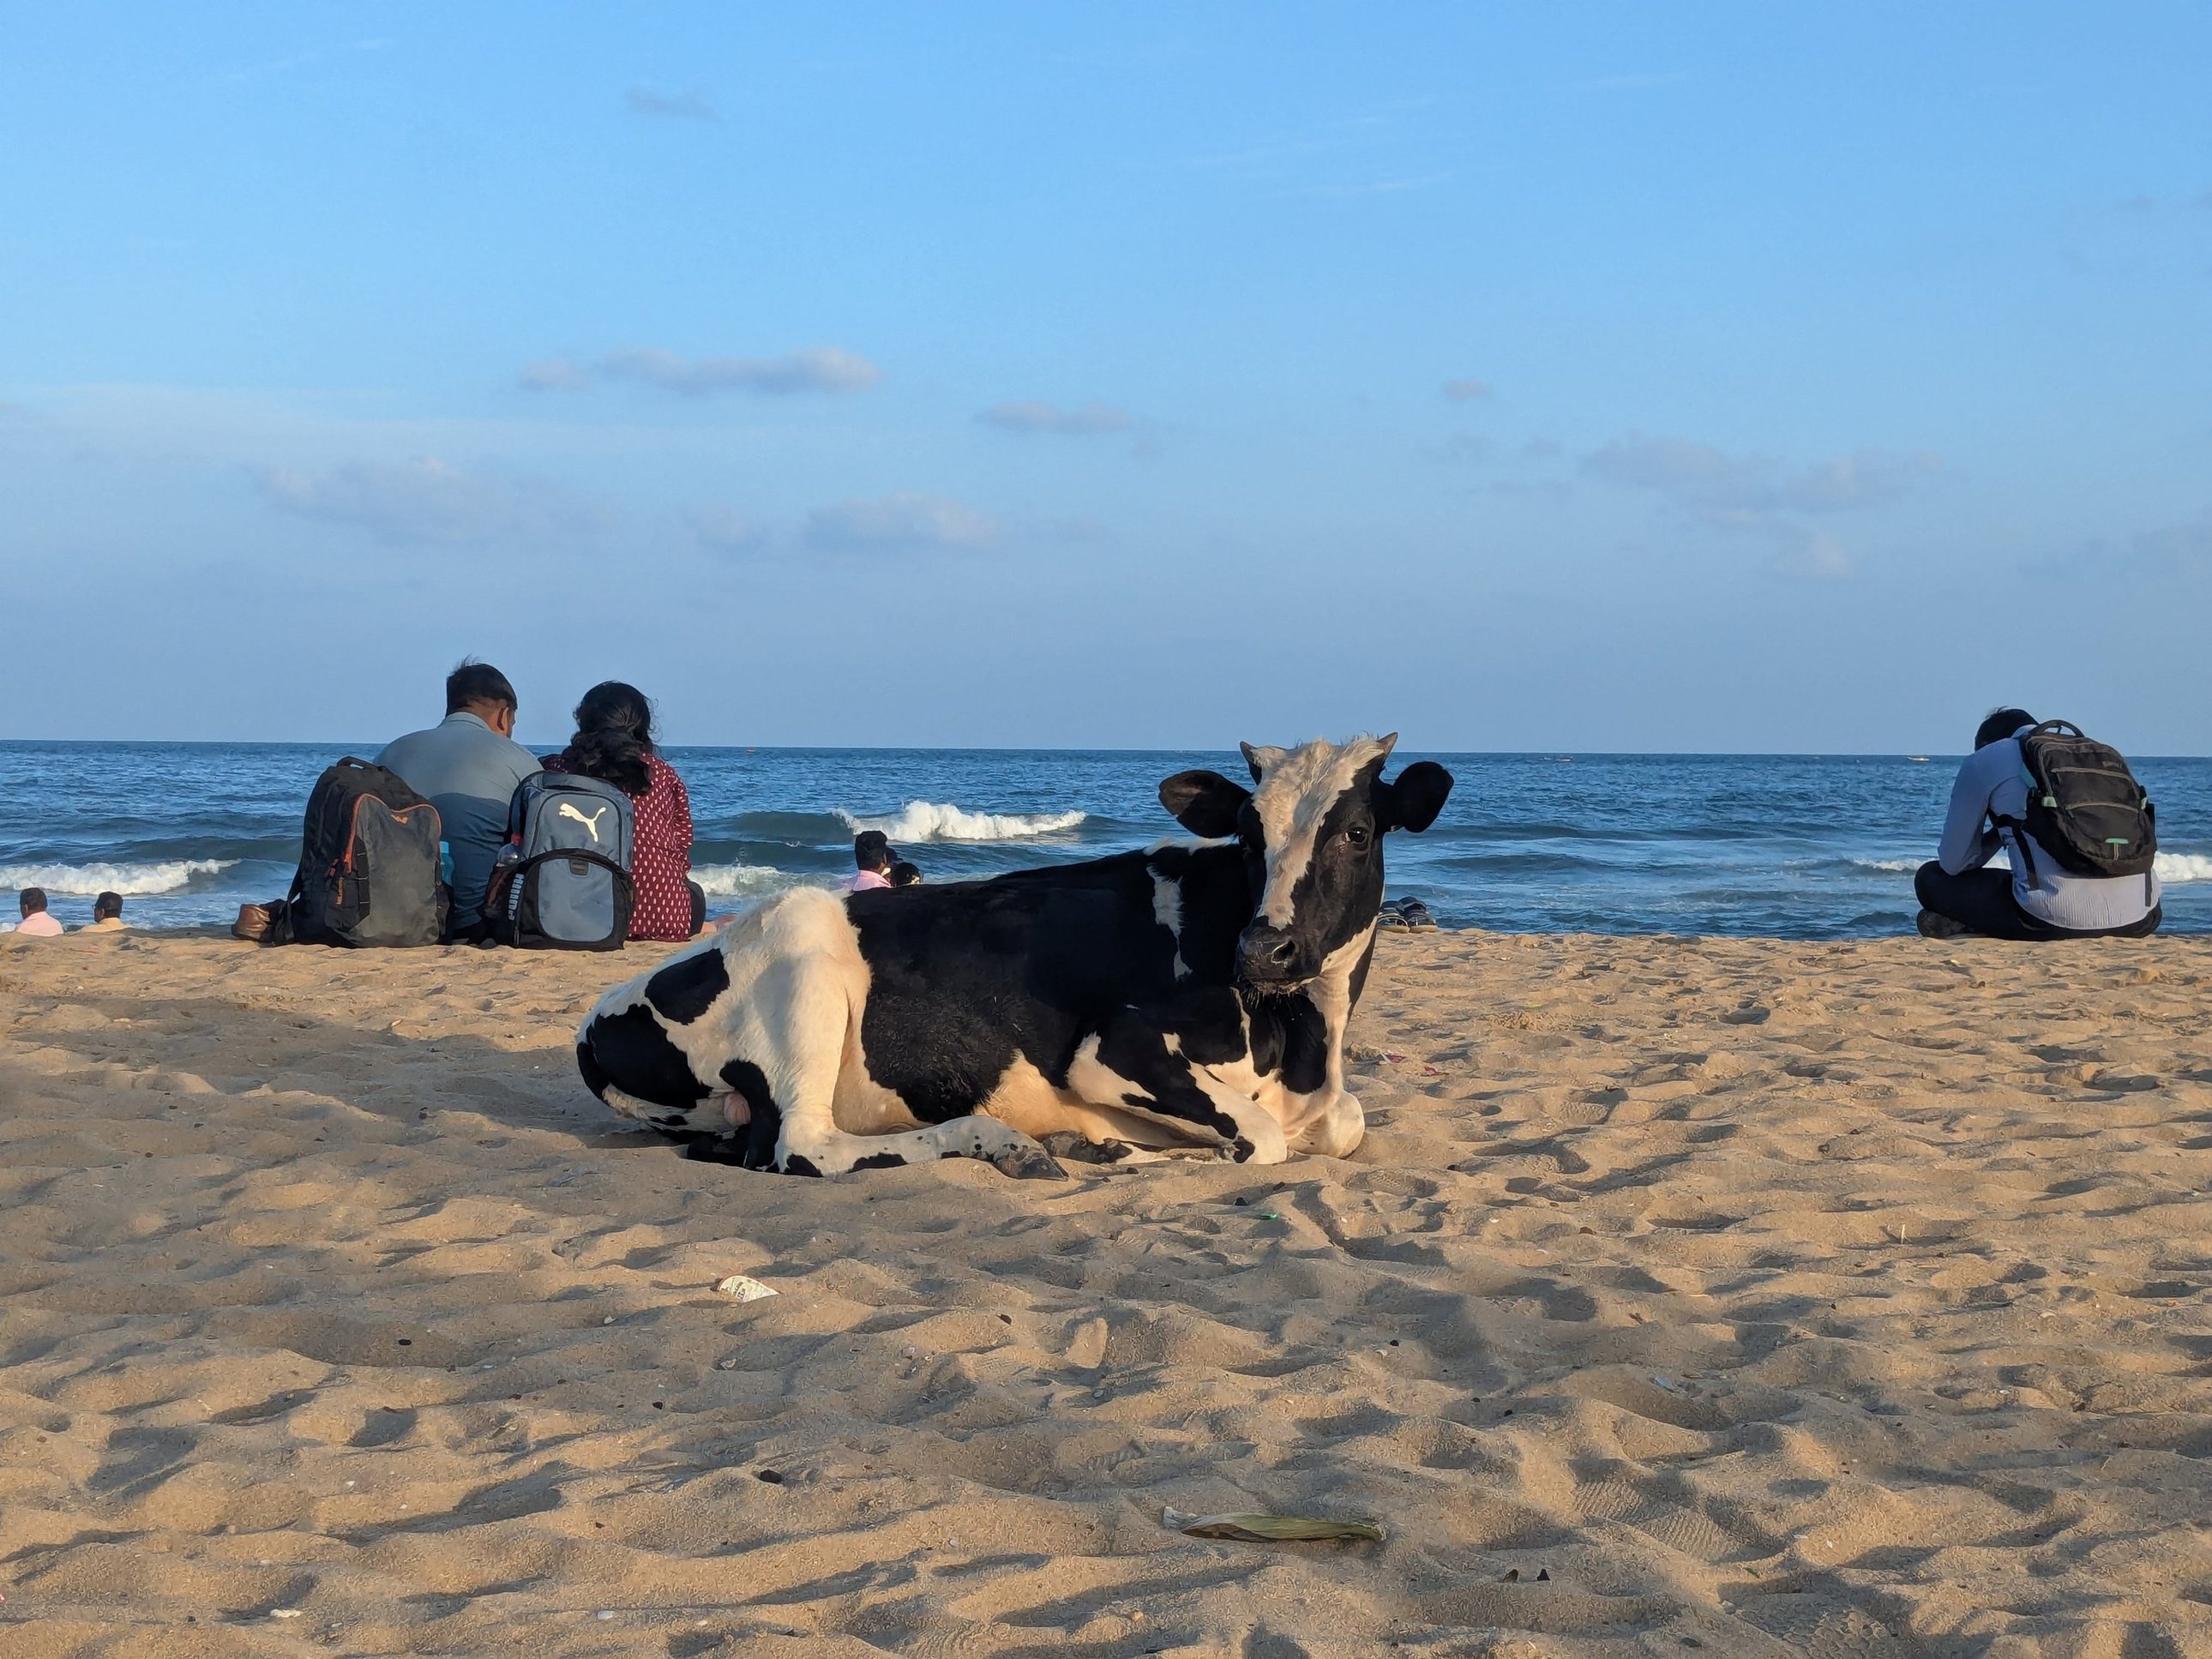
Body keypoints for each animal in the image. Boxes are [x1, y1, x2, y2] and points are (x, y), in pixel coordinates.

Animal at [574, 735, 1453, 1177]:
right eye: (1247, 834)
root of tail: (594, 1020)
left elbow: (1346, 1122)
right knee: (806, 1147)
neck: (1309, 1044)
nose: (1263, 948)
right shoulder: (1114, 1047)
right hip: (807, 974)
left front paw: (1111, 1142)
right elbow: (1262, 1138)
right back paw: (1000, 1141)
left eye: (1358, 831)